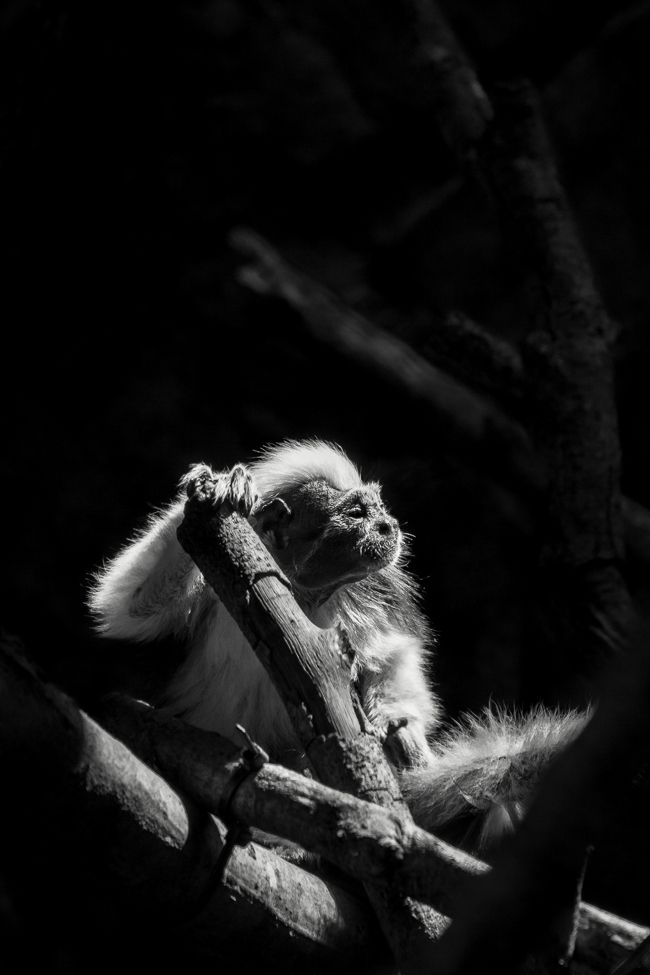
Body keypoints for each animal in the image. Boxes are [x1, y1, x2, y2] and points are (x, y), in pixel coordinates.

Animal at [88, 439, 586, 850]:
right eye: (356, 514)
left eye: (379, 508)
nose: (388, 526)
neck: (301, 593)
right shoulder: (215, 586)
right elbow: (130, 607)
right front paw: (222, 484)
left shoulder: (375, 599)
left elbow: (391, 664)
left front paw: (400, 730)